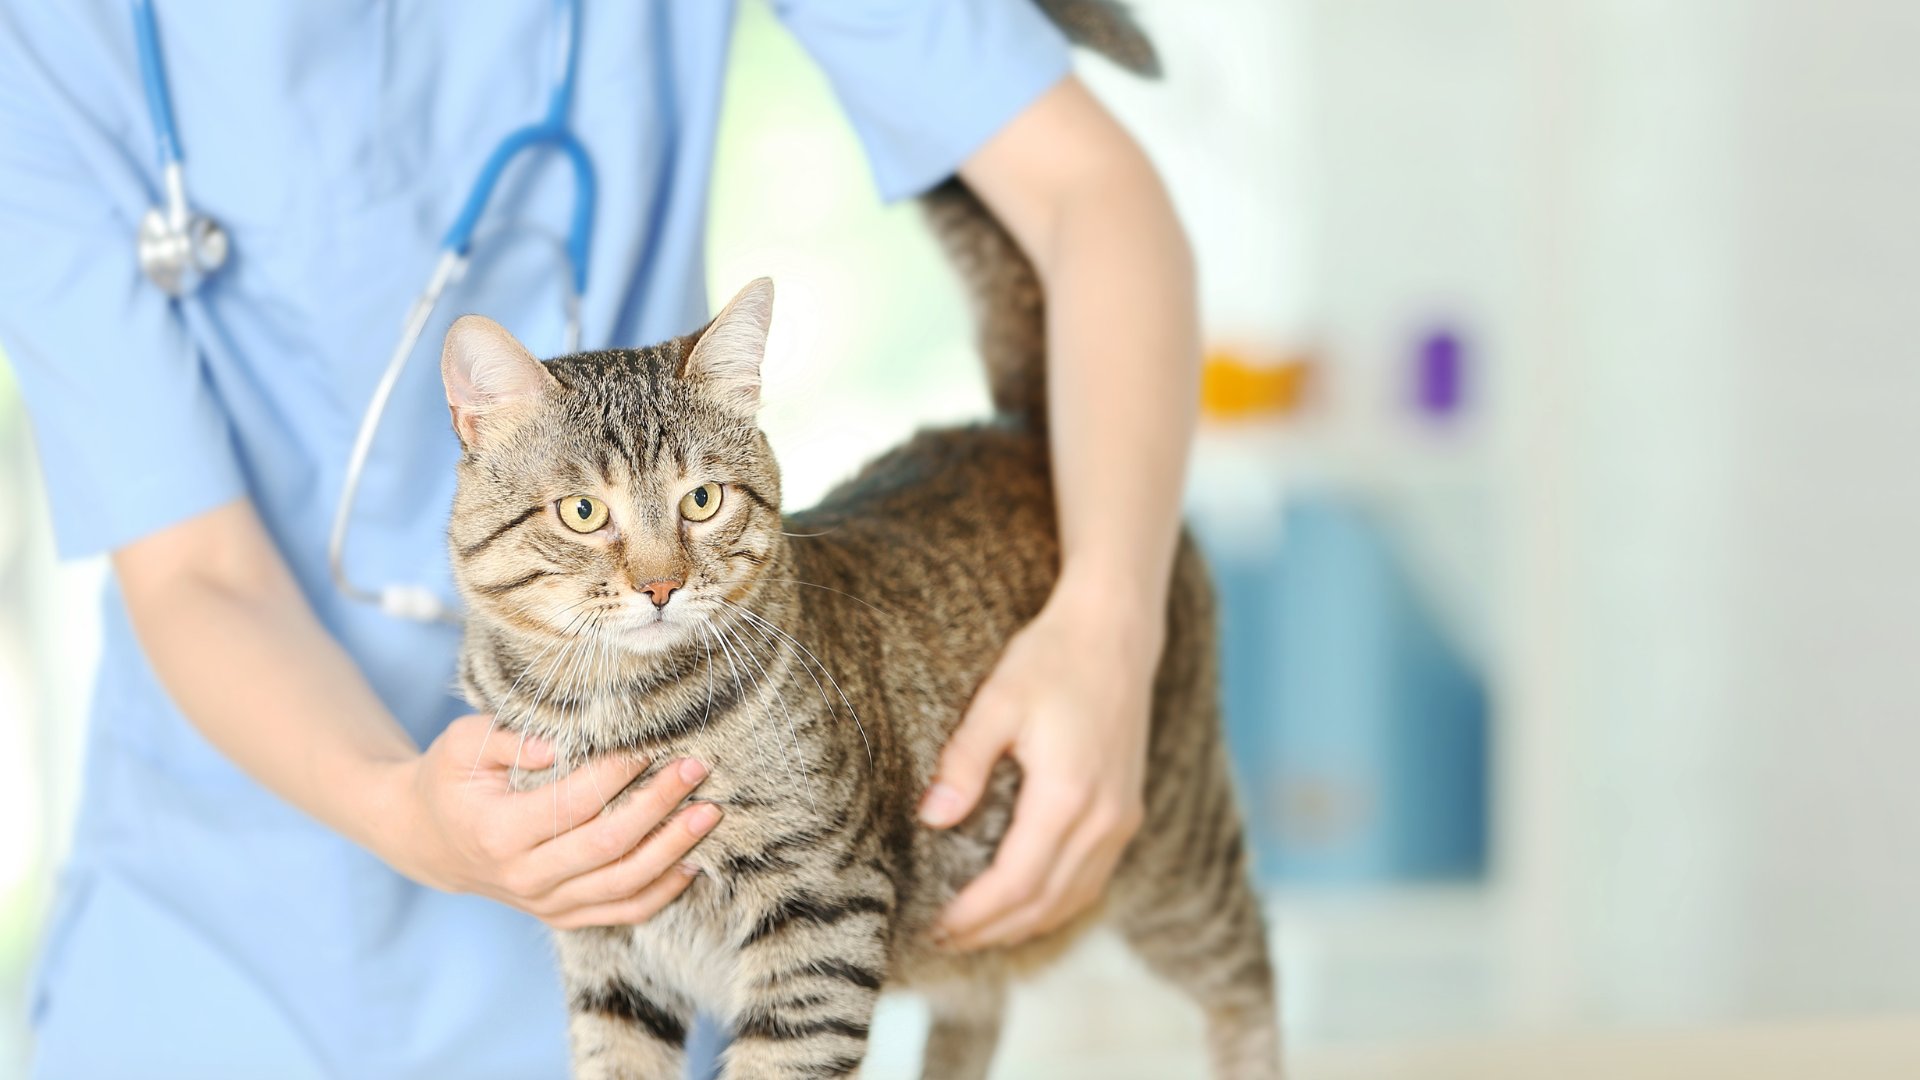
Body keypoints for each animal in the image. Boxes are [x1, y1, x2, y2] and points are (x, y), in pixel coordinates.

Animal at [433, 6, 1274, 1068]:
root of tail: (1020, 426)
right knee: (980, 1002)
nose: (661, 585)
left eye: (702, 502)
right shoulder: (605, 941)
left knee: (1250, 978)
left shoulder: (820, 913)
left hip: (1168, 849)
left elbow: (779, 1056)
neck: (617, 717)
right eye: (584, 513)